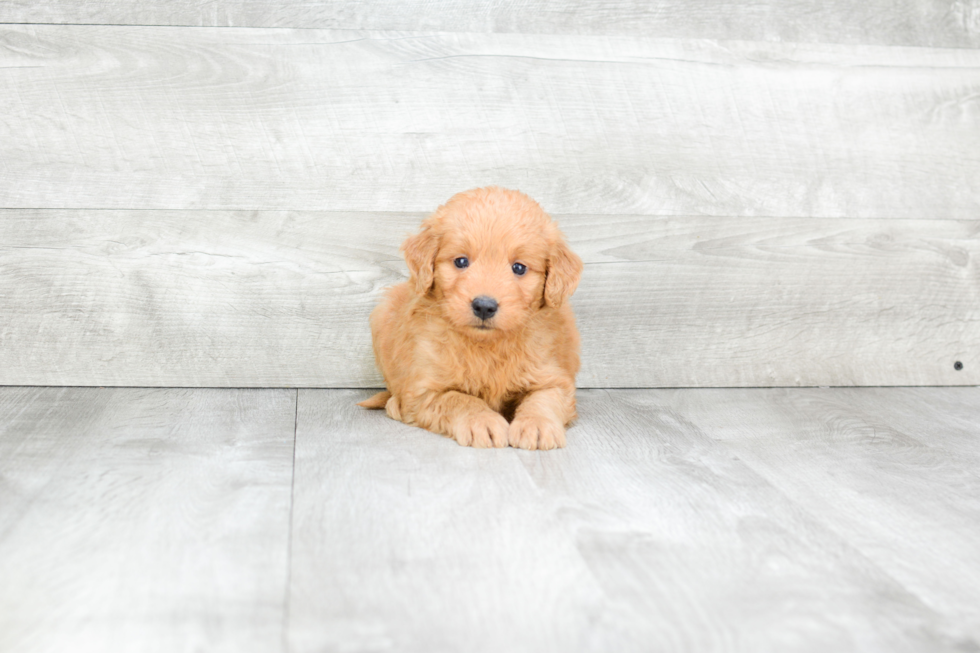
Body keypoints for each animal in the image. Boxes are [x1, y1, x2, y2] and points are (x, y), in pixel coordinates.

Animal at [364, 185, 584, 448]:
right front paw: (482, 421)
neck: (486, 346)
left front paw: (537, 424)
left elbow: (543, 398)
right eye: (461, 261)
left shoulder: (553, 378)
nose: (484, 306)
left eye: (519, 268)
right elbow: (458, 399)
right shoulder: (424, 390)